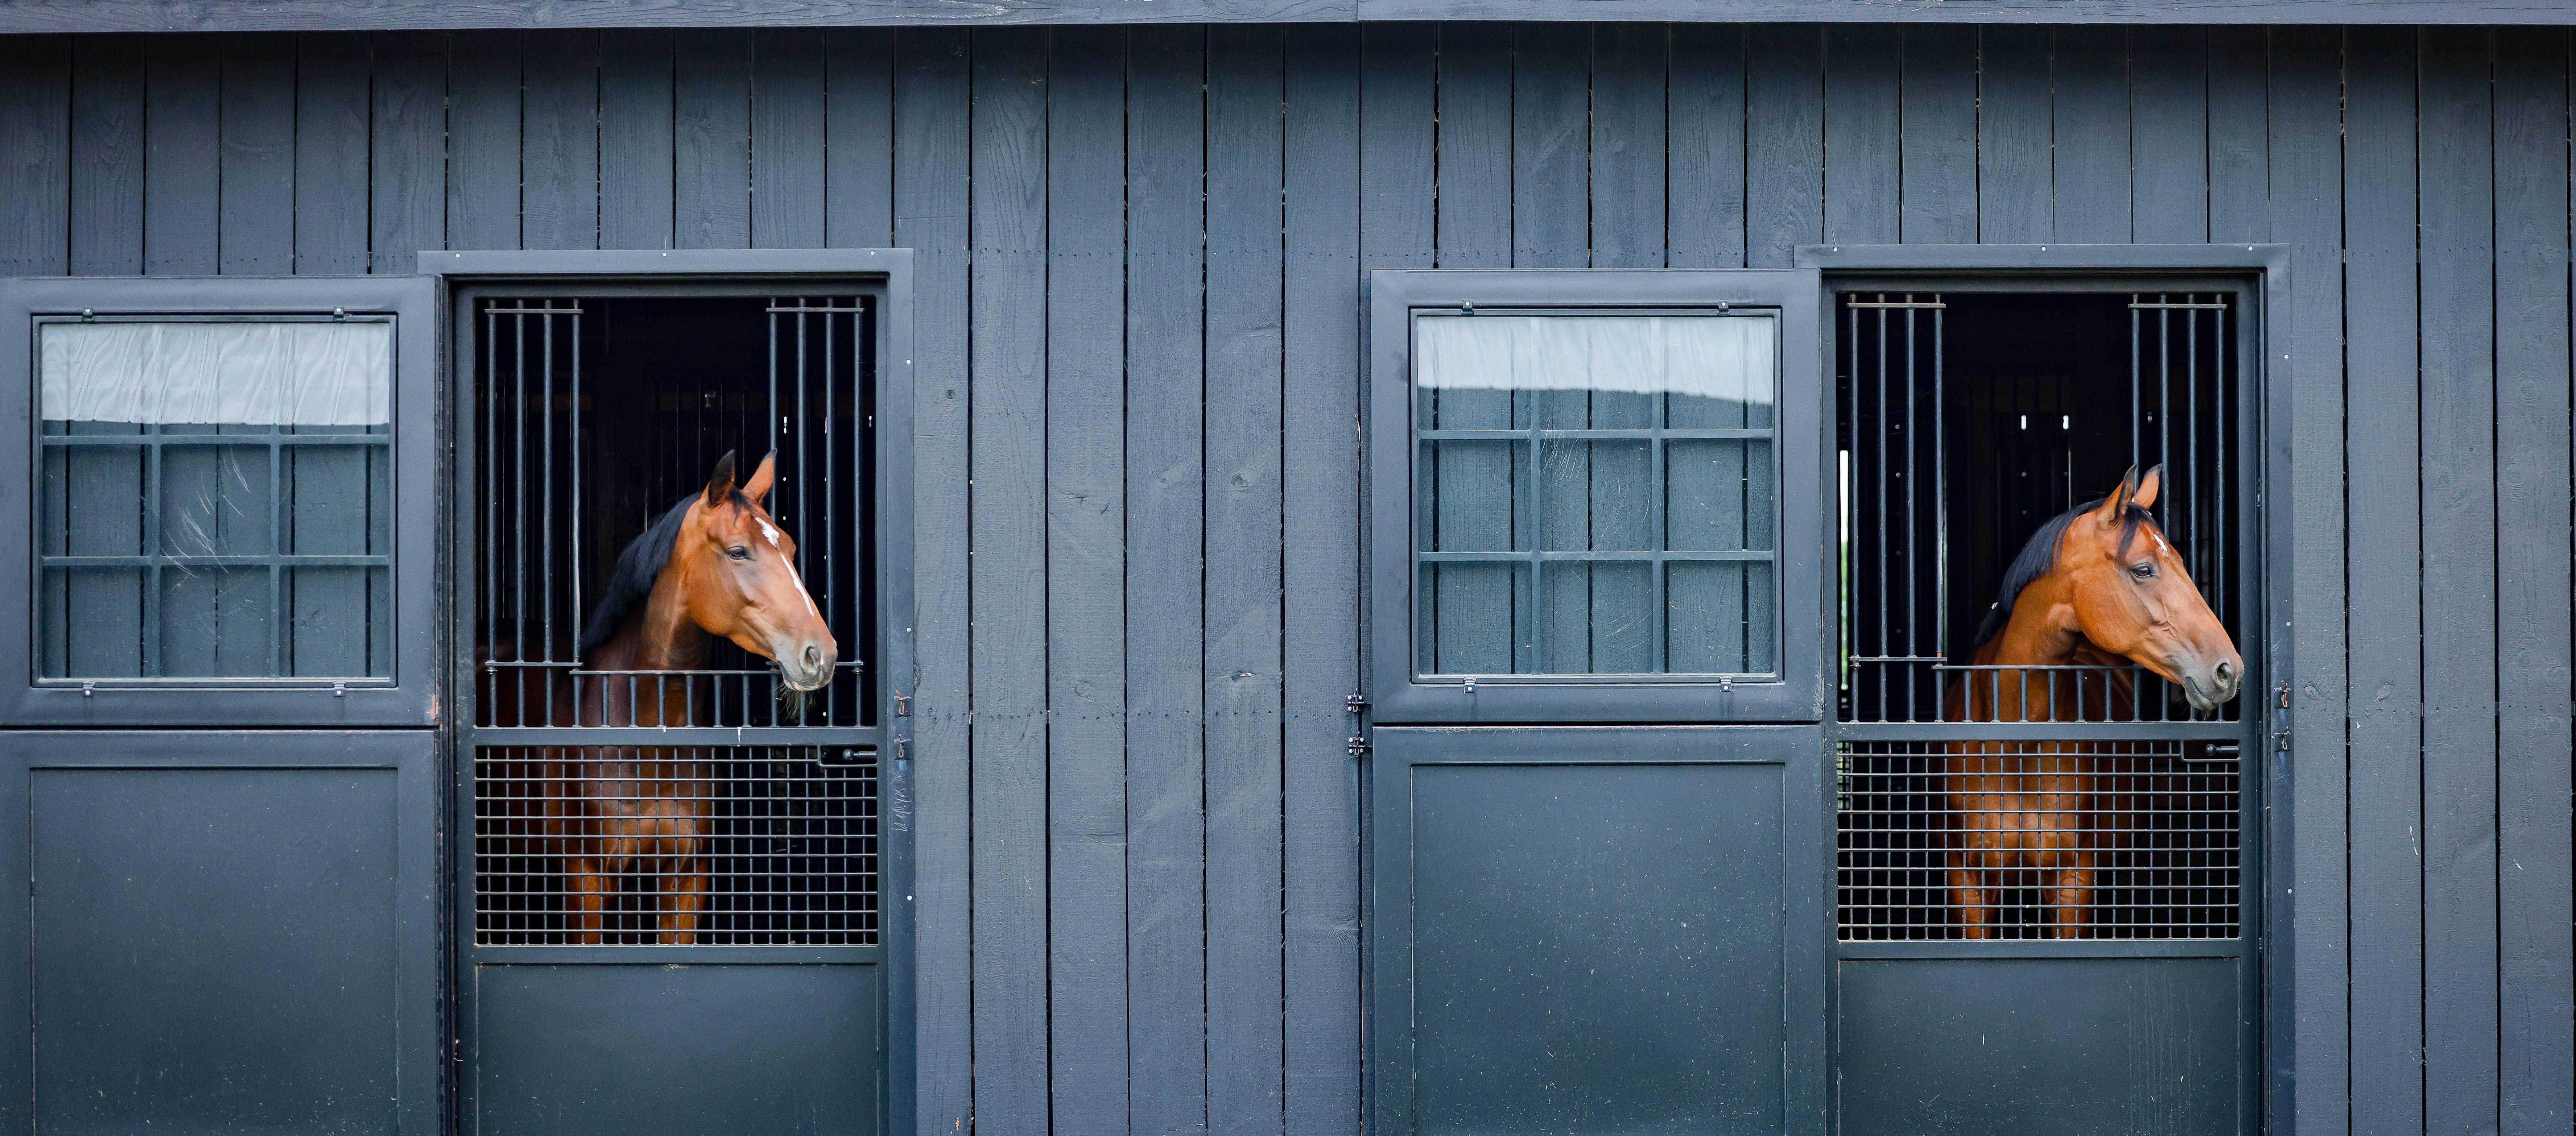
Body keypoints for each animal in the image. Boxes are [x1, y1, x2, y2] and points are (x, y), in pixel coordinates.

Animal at [532, 449, 837, 944]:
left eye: (791, 550)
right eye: (738, 551)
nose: (821, 654)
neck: (649, 739)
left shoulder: (687, 875)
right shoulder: (586, 878)